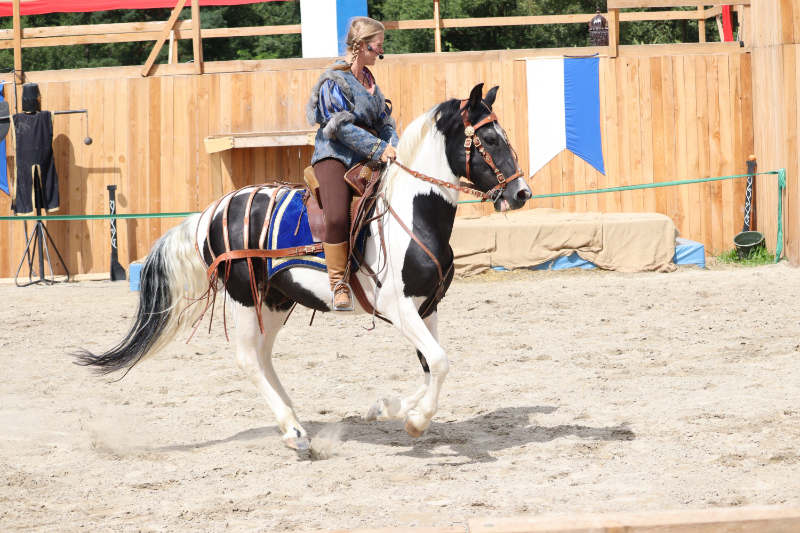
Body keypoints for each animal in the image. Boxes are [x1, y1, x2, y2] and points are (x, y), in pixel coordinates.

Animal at [78, 81, 536, 450]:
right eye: (490, 138)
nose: (521, 193)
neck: (411, 213)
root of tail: (211, 212)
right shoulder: (399, 306)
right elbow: (439, 362)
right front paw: (413, 419)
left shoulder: (428, 306)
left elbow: (430, 366)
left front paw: (389, 408)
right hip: (246, 298)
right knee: (248, 358)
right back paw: (294, 432)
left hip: (275, 301)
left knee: (264, 356)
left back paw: (294, 423)